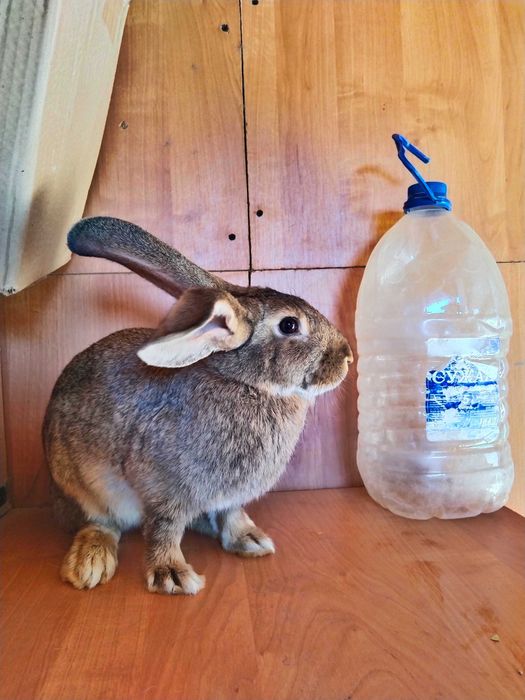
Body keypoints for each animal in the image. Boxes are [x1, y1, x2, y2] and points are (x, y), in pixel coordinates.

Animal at [43, 216, 352, 595]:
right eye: (290, 325)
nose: (348, 357)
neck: (244, 383)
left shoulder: (231, 496)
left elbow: (232, 514)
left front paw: (251, 541)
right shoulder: (165, 490)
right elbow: (164, 529)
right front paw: (173, 576)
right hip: (85, 486)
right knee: (100, 522)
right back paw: (89, 564)